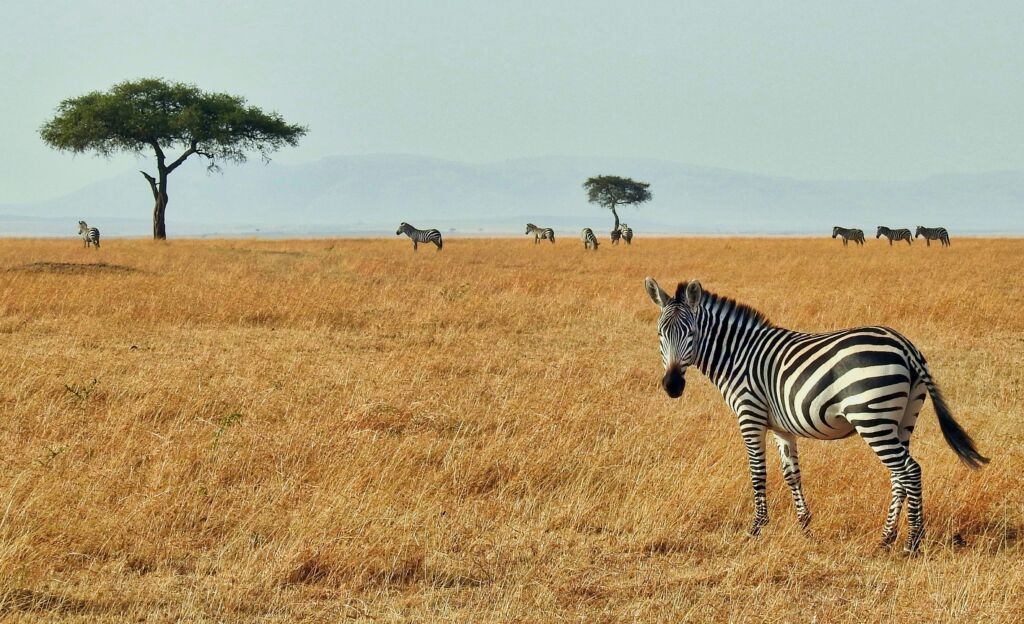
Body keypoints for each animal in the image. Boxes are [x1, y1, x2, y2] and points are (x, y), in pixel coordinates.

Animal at [643, 276, 987, 549]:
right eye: (660, 334)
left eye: (690, 333)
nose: (672, 386)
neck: (737, 355)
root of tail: (904, 345)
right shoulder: (781, 426)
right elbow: (791, 474)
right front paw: (805, 526)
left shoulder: (750, 415)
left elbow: (757, 473)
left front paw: (756, 528)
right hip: (903, 419)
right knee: (900, 474)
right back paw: (887, 538)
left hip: (871, 417)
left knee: (910, 470)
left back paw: (912, 542)